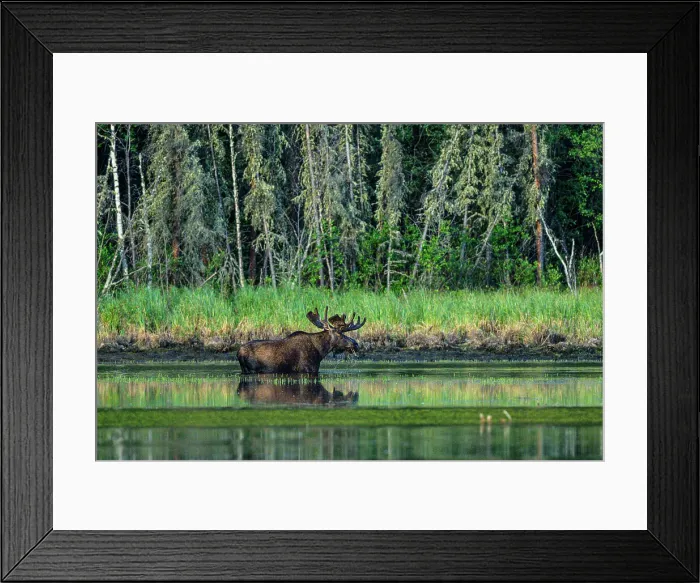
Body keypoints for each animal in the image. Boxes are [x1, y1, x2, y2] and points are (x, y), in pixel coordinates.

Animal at [236, 307, 366, 375]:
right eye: (340, 333)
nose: (355, 344)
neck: (320, 352)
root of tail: (238, 352)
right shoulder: (308, 369)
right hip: (252, 369)